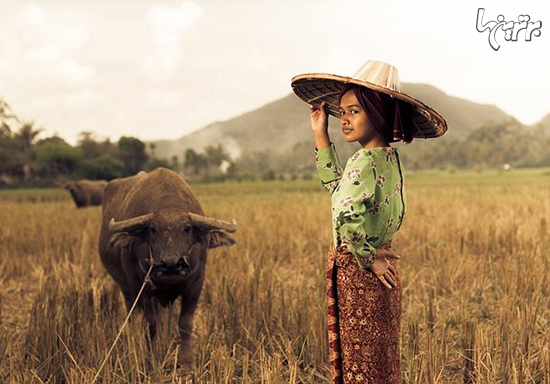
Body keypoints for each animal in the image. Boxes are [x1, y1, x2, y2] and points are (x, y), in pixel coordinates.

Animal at [98, 167, 236, 366]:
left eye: (187, 228)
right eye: (153, 229)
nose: (171, 264)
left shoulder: (196, 283)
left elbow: (185, 324)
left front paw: (186, 361)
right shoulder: (140, 285)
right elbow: (150, 325)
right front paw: (150, 359)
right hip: (126, 287)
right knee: (133, 314)